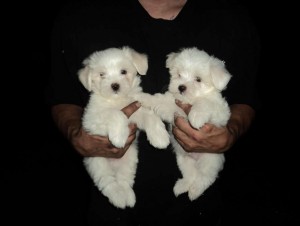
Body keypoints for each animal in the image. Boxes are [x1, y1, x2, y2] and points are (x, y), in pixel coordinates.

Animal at [78, 46, 171, 208]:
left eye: (123, 72)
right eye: (102, 75)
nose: (115, 85)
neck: (117, 100)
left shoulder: (136, 111)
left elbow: (150, 115)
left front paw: (160, 138)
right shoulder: (92, 119)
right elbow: (116, 113)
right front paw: (119, 137)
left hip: (129, 161)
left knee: (124, 180)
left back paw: (127, 196)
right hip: (97, 163)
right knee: (108, 182)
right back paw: (118, 197)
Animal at [137, 46, 231, 200]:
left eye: (198, 79)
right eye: (179, 74)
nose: (181, 87)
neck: (189, 101)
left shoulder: (220, 111)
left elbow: (205, 102)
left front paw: (196, 116)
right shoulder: (172, 106)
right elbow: (158, 100)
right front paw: (142, 97)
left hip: (210, 160)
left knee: (205, 177)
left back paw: (195, 191)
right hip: (183, 159)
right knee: (190, 175)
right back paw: (182, 186)